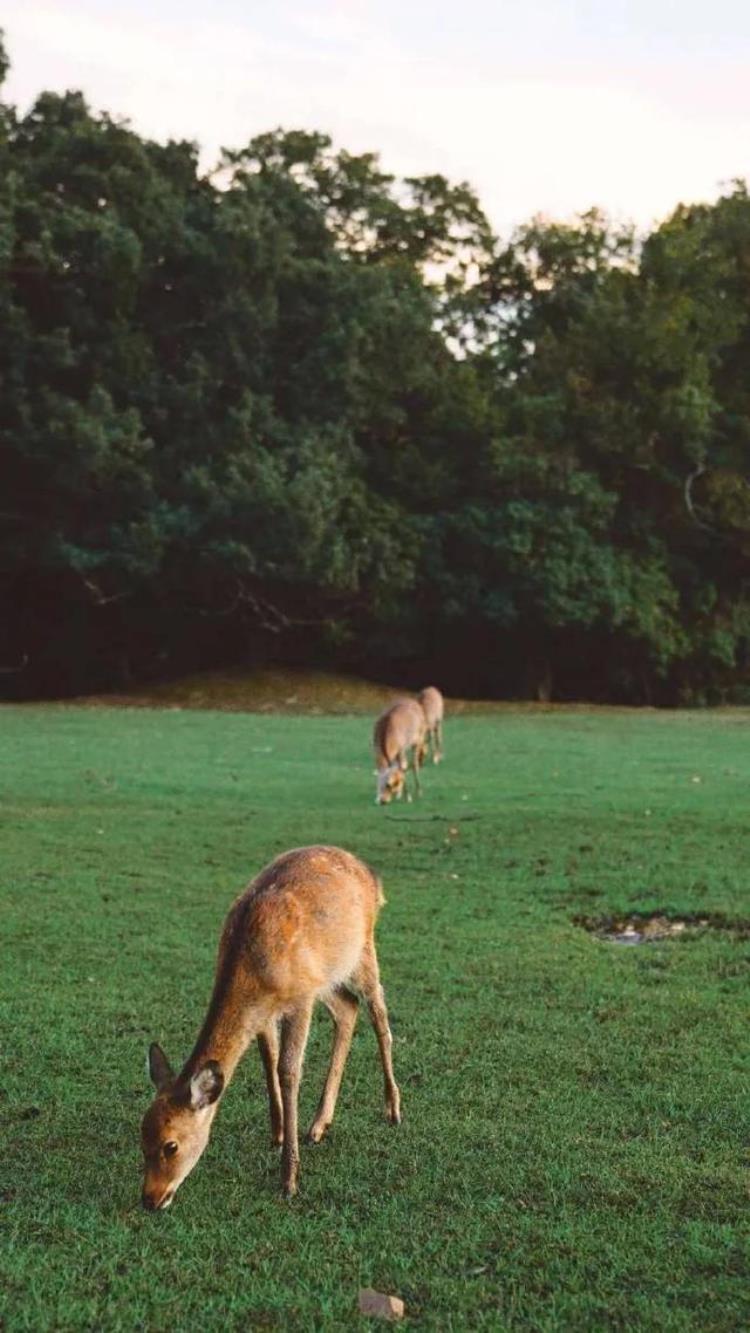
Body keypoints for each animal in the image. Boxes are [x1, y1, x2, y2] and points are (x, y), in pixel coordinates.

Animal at [139, 847, 399, 1215]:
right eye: (141, 1138)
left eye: (170, 1145)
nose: (150, 1198)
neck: (253, 973)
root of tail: (371, 875)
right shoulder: (266, 1011)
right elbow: (268, 1062)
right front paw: (277, 1135)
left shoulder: (300, 998)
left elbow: (288, 1071)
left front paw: (289, 1179)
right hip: (328, 973)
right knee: (348, 1007)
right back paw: (319, 1125)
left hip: (362, 950)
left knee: (379, 1014)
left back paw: (393, 1109)